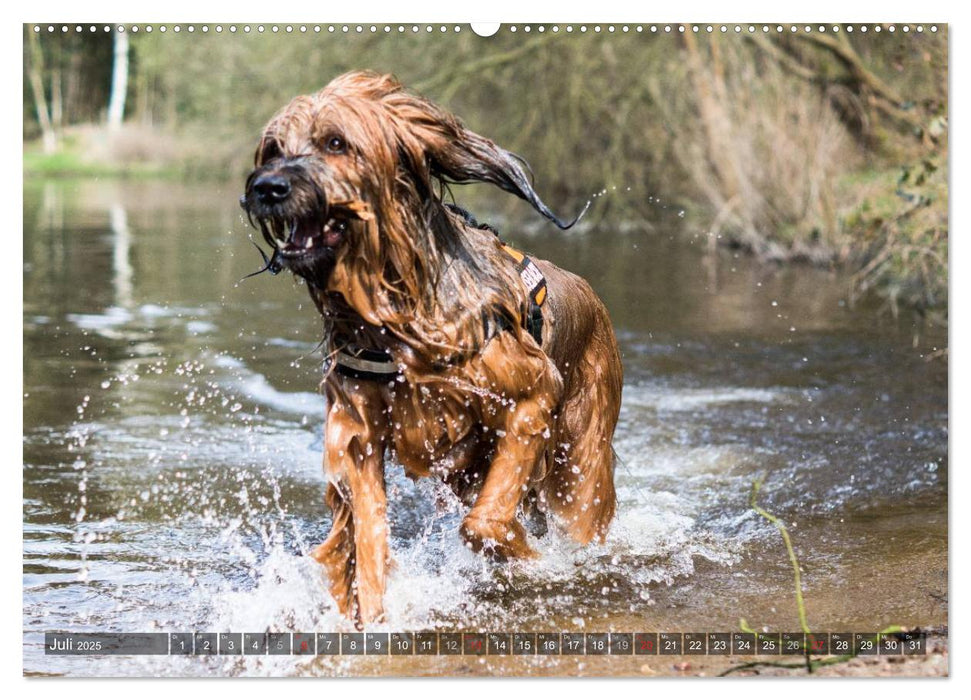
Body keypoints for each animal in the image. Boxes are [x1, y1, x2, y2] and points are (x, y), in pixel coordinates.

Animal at [241, 71, 624, 624]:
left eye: (336, 143)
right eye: (273, 149)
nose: (266, 187)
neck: (395, 314)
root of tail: (592, 295)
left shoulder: (533, 396)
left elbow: (482, 524)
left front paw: (525, 556)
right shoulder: (359, 436)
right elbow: (368, 546)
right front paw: (372, 620)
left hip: (581, 461)